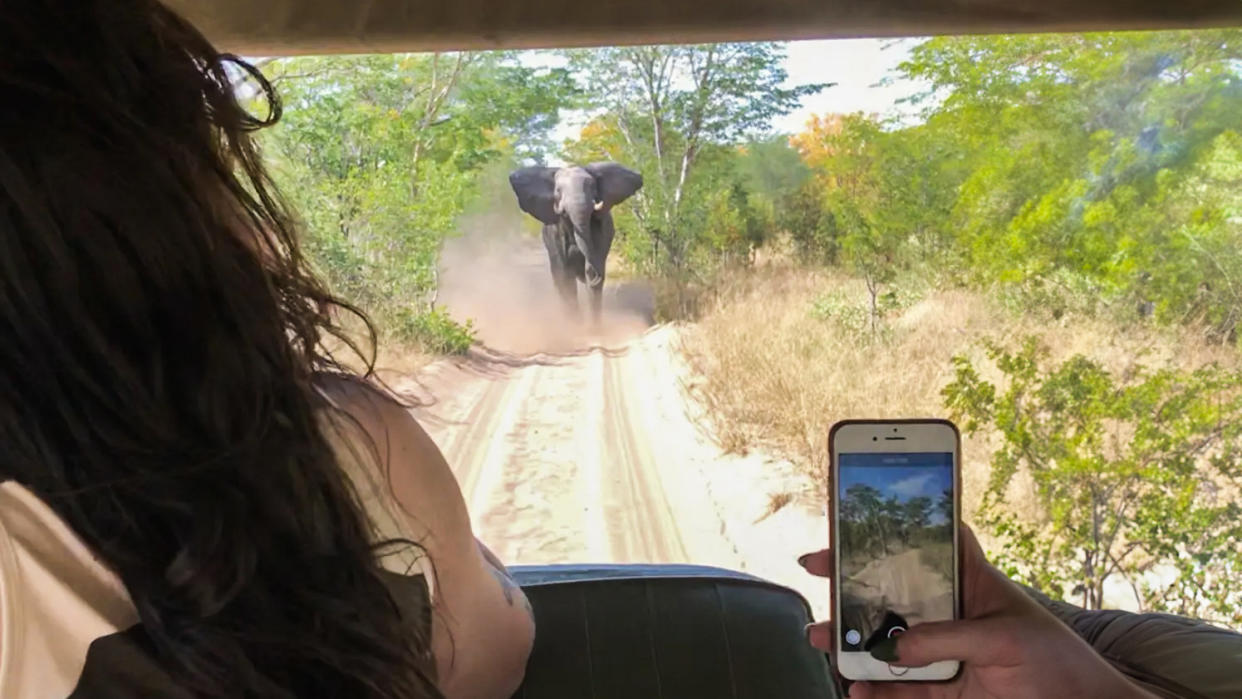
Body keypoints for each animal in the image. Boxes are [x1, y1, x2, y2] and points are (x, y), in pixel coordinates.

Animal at [506, 161, 645, 322]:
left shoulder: (600, 229)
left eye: (592, 186)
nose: (597, 275)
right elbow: (564, 277)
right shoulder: (555, 234)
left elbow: (592, 274)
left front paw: (594, 327)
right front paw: (576, 325)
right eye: (558, 190)